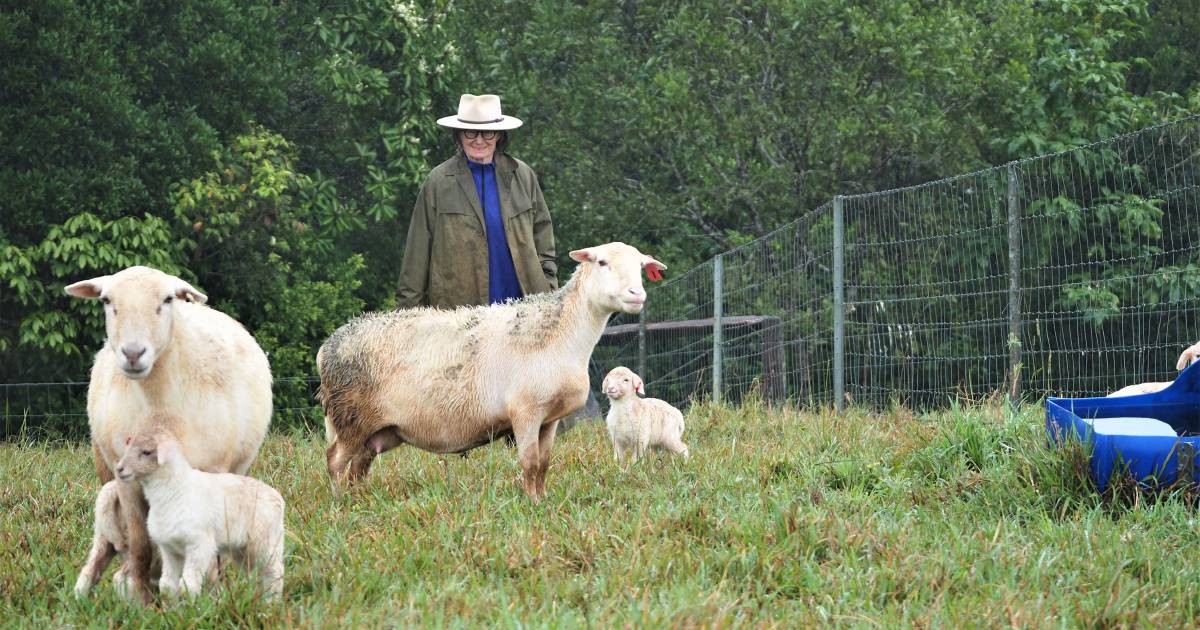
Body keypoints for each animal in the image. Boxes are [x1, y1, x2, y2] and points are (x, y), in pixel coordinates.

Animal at [115, 427, 286, 600]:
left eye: (146, 452)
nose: (119, 469)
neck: (176, 489)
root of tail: (277, 497)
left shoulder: (199, 545)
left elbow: (188, 584)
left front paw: (190, 605)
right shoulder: (169, 550)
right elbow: (167, 585)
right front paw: (171, 605)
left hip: (266, 542)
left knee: (274, 572)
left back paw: (272, 601)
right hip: (243, 549)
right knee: (258, 572)